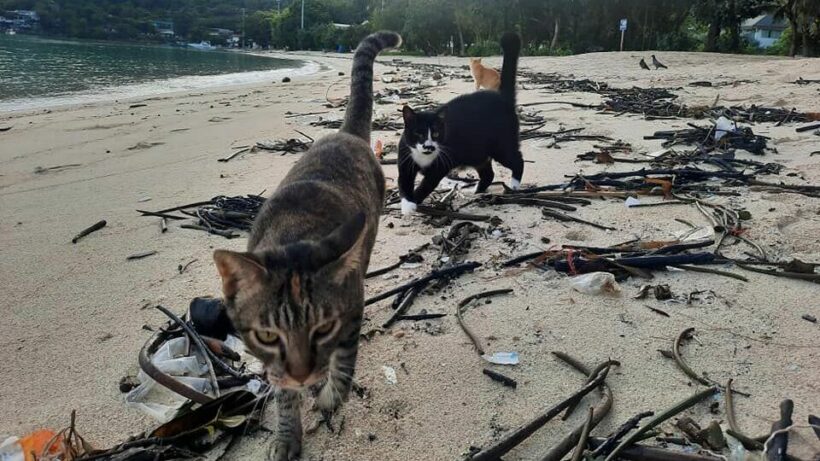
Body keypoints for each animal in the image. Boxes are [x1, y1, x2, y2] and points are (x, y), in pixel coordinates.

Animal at [213, 30, 402, 458]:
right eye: (267, 336)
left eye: (323, 327)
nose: (301, 375)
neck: (295, 235)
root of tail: (346, 132)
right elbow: (282, 395)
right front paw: (287, 435)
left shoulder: (351, 305)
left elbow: (345, 362)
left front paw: (331, 393)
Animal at [398, 32, 524, 216]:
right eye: (418, 133)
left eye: (436, 133)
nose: (429, 146)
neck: (424, 157)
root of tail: (503, 98)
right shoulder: (405, 159)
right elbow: (404, 182)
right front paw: (407, 204)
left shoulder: (439, 167)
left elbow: (426, 184)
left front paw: (415, 200)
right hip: (477, 152)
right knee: (488, 173)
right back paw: (476, 190)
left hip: (501, 145)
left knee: (517, 160)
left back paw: (514, 184)